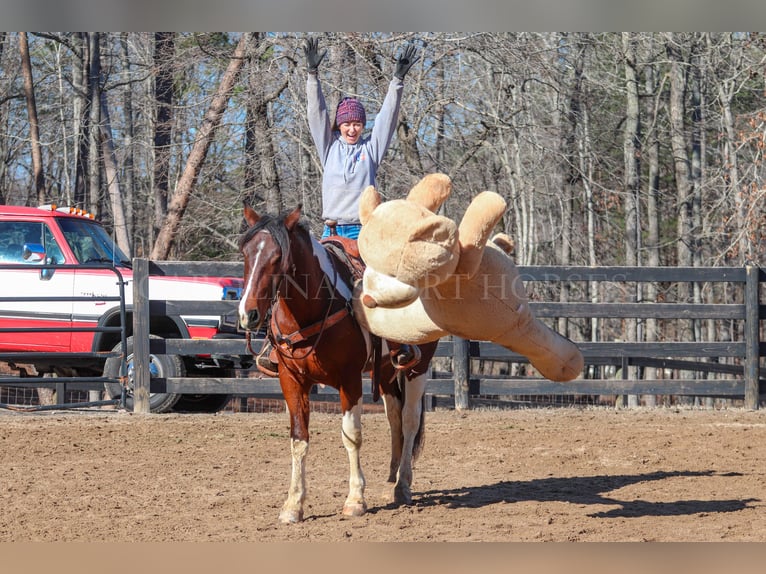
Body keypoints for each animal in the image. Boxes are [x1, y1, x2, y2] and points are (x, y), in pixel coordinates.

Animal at [237, 205, 436, 524]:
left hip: (419, 367)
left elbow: (352, 436)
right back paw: (391, 480)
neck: (312, 309)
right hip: (387, 372)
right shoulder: (291, 380)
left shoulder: (349, 380)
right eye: (245, 252)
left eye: (278, 257)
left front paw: (355, 500)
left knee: (409, 420)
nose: (248, 314)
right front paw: (293, 505)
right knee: (394, 418)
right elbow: (298, 439)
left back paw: (403, 485)